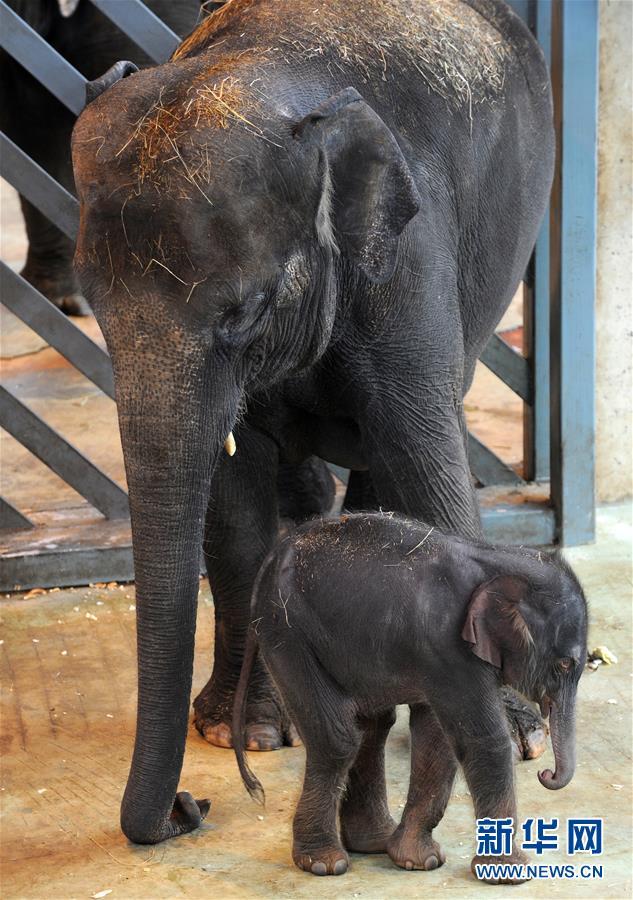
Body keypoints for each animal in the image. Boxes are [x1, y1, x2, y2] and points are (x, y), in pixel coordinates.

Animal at [70, 0, 552, 844]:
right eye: (90, 303)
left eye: (242, 311)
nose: (190, 805)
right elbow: (234, 513)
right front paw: (242, 730)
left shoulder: (407, 267)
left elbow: (429, 472)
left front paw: (512, 732)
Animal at [233, 510, 588, 884]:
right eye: (565, 664)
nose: (545, 774)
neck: (498, 560)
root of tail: (271, 560)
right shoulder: (448, 649)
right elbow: (482, 739)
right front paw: (510, 875)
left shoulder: (439, 658)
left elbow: (437, 739)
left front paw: (421, 862)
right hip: (288, 634)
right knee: (339, 739)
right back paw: (324, 863)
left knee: (372, 729)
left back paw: (372, 842)